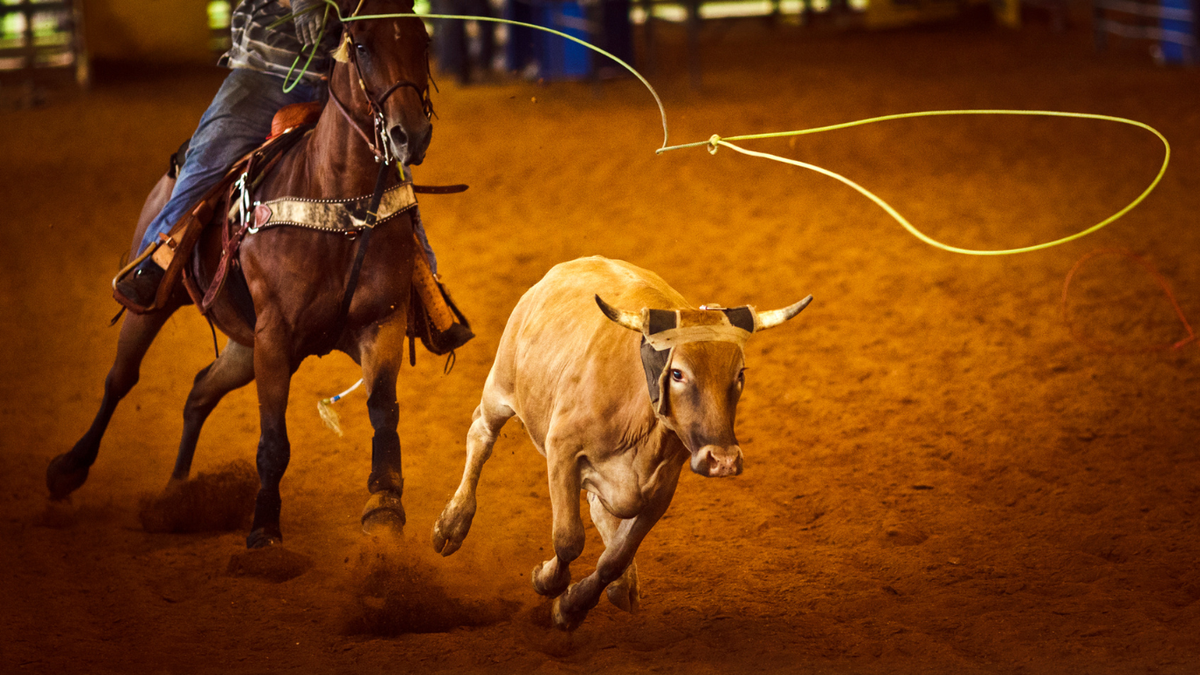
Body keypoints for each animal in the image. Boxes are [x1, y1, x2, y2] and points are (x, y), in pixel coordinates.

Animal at [45, 0, 436, 547]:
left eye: (424, 41)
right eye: (362, 45)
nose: (411, 134)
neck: (341, 205)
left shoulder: (382, 322)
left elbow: (383, 414)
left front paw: (384, 510)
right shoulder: (275, 336)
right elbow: (273, 441)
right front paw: (264, 531)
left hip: (242, 342)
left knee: (199, 391)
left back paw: (175, 497)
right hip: (157, 304)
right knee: (120, 379)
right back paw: (69, 469)